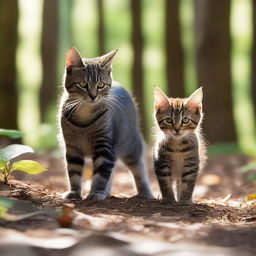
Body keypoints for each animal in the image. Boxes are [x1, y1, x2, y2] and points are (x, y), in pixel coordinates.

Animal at [58, 47, 152, 200]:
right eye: (83, 84)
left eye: (100, 85)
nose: (93, 96)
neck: (85, 115)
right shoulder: (72, 147)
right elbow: (74, 172)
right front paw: (74, 192)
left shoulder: (105, 145)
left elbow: (101, 174)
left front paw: (96, 193)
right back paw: (107, 192)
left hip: (131, 146)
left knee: (139, 168)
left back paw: (145, 193)